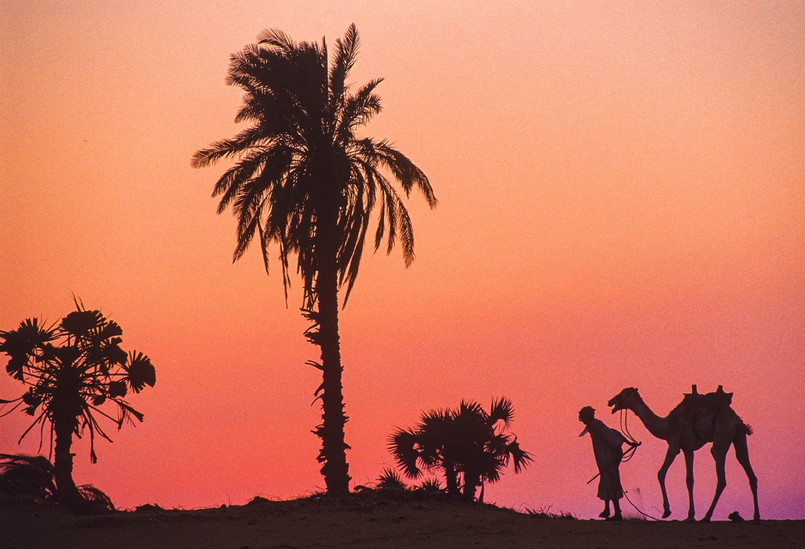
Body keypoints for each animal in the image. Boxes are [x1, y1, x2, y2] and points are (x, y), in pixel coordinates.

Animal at [608, 388, 756, 520]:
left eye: (623, 393)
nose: (610, 401)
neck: (666, 425)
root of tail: (737, 421)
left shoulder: (674, 445)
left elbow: (661, 473)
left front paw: (666, 511)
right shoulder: (687, 449)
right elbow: (689, 480)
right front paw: (690, 515)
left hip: (722, 434)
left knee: (720, 472)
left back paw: (707, 516)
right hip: (739, 436)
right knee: (745, 462)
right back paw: (756, 516)